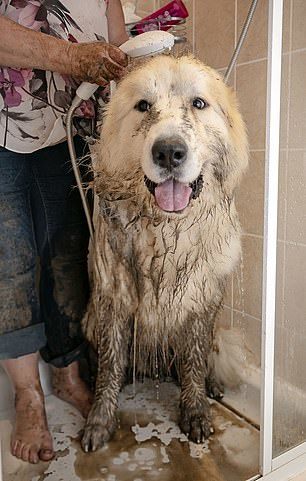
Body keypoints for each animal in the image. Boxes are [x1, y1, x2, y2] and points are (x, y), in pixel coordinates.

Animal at [81, 54, 249, 452]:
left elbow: (194, 361)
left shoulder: (202, 301)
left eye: (199, 103)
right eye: (143, 106)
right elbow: (110, 365)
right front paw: (99, 421)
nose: (169, 152)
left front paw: (196, 411)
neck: (165, 229)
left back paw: (212, 386)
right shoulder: (112, 300)